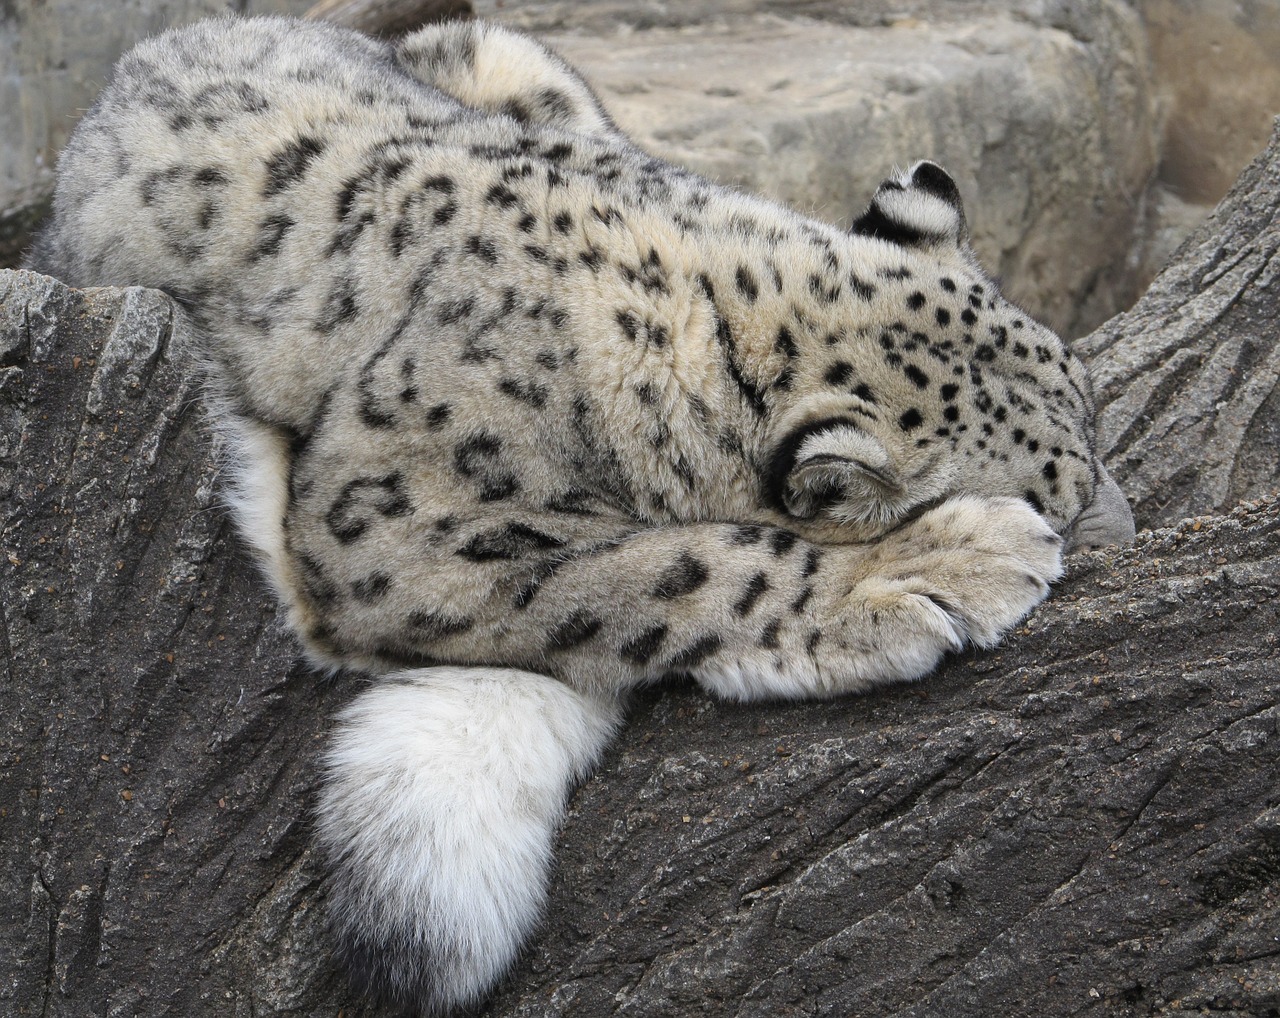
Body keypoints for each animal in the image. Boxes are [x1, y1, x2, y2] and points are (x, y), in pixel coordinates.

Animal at [27, 11, 1131, 1014]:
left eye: (1087, 405)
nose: (1120, 525)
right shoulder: (387, 533)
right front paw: (937, 566)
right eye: (1049, 495)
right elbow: (672, 568)